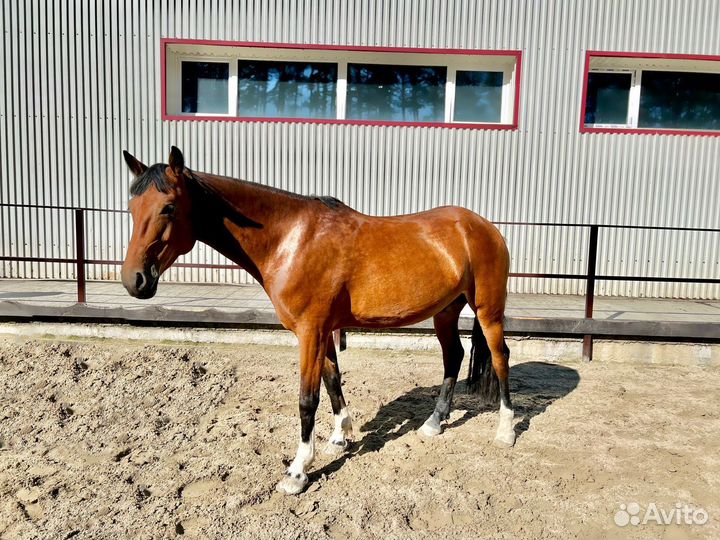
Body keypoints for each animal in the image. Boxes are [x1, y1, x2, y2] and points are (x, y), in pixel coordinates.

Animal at [120, 147, 515, 495]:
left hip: (488, 311)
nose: (133, 280)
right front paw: (339, 437)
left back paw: (505, 430)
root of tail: (482, 226)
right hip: (445, 311)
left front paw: (297, 472)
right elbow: (332, 380)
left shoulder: (310, 332)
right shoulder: (322, 330)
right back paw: (434, 422)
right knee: (454, 356)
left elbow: (307, 399)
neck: (290, 239)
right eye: (132, 208)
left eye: (169, 207)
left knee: (500, 358)